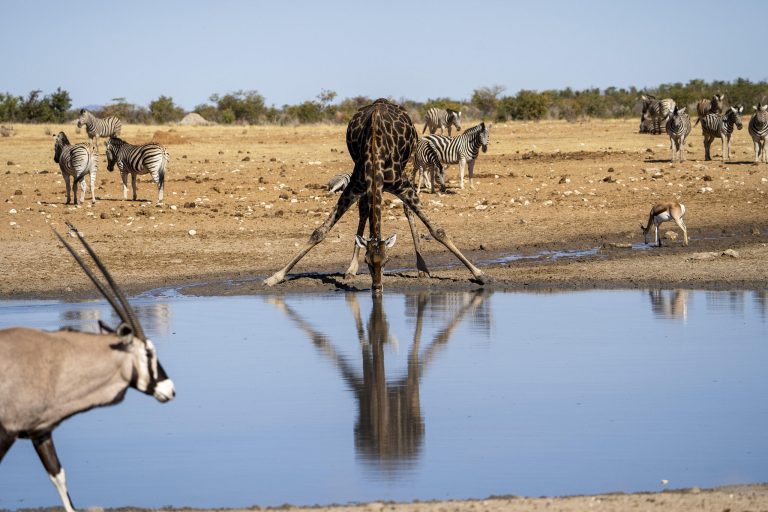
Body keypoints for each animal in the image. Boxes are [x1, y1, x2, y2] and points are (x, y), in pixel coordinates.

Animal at [263, 98, 487, 293]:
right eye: (367, 261)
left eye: (387, 260)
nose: (377, 288)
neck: (375, 150)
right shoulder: (355, 185)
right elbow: (320, 232)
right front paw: (275, 277)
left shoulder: (401, 185)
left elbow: (437, 230)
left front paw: (479, 273)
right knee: (364, 211)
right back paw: (351, 269)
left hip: (406, 169)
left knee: (406, 210)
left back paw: (422, 268)